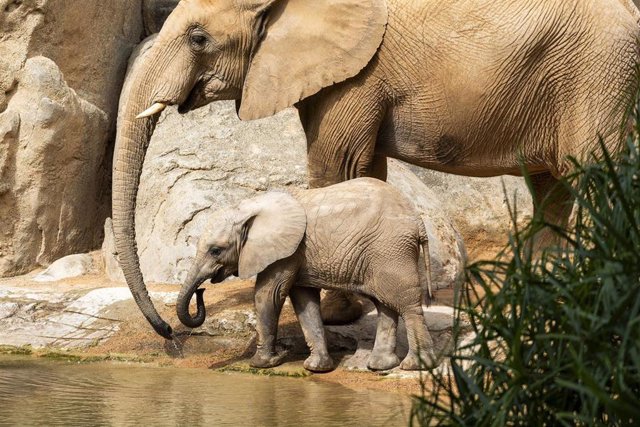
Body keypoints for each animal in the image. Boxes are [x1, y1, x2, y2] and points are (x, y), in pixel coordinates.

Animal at [115, 0, 640, 342]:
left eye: (198, 38)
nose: (170, 330)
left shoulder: (358, 77)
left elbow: (336, 166)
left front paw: (333, 315)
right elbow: (367, 170)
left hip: (597, 76)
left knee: (592, 178)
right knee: (554, 190)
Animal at [176, 177, 436, 372]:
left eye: (215, 250)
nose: (202, 290)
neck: (248, 206)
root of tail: (418, 221)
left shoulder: (287, 251)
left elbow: (268, 295)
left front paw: (263, 363)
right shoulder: (297, 254)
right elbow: (304, 302)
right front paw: (316, 368)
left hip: (390, 250)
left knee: (405, 303)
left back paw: (414, 366)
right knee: (384, 304)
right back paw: (380, 366)